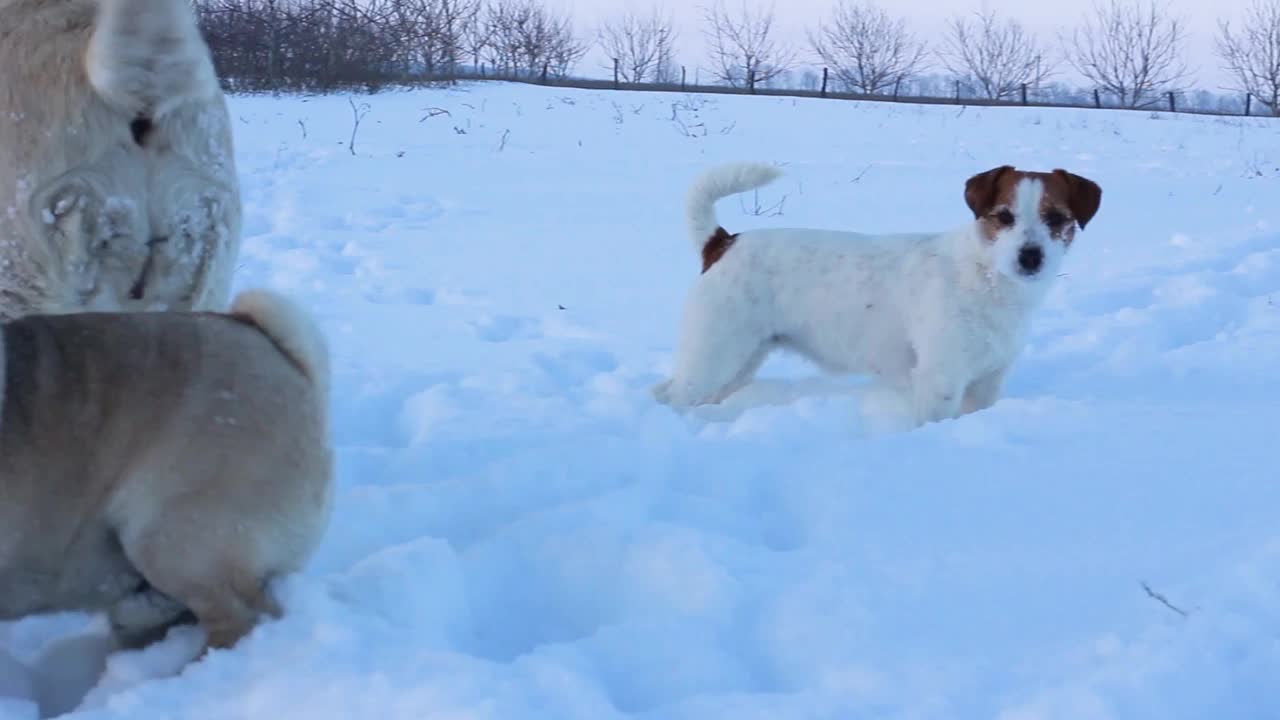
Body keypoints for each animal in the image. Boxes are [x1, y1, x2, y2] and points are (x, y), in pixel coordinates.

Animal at [655, 161, 1105, 425]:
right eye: (1004, 217)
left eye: (1056, 218)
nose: (1030, 257)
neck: (986, 276)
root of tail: (723, 242)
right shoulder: (940, 378)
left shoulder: (989, 380)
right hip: (715, 354)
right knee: (672, 394)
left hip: (739, 360)